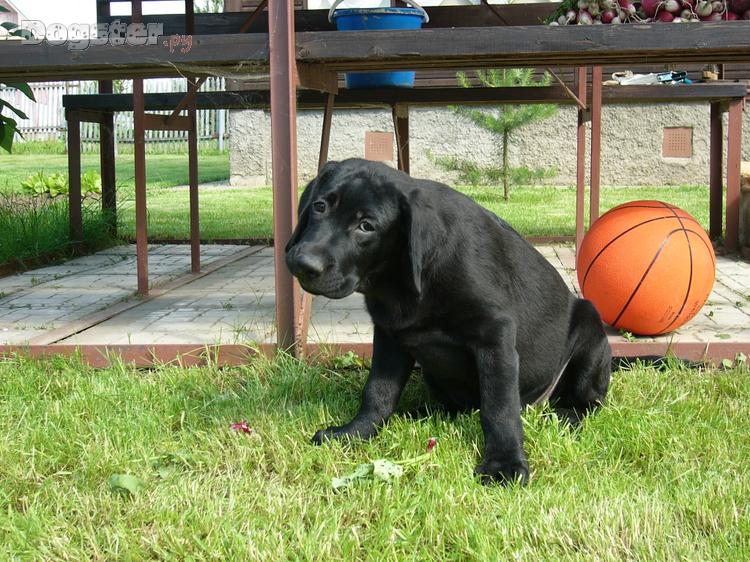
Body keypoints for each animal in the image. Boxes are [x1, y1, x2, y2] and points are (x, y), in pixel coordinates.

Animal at [286, 159, 611, 485]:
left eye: (366, 226)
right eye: (319, 207)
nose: (304, 264)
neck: (401, 282)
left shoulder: (496, 334)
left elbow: (499, 407)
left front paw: (504, 463)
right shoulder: (390, 335)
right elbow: (378, 392)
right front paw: (354, 433)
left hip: (590, 332)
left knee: (591, 401)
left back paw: (567, 414)